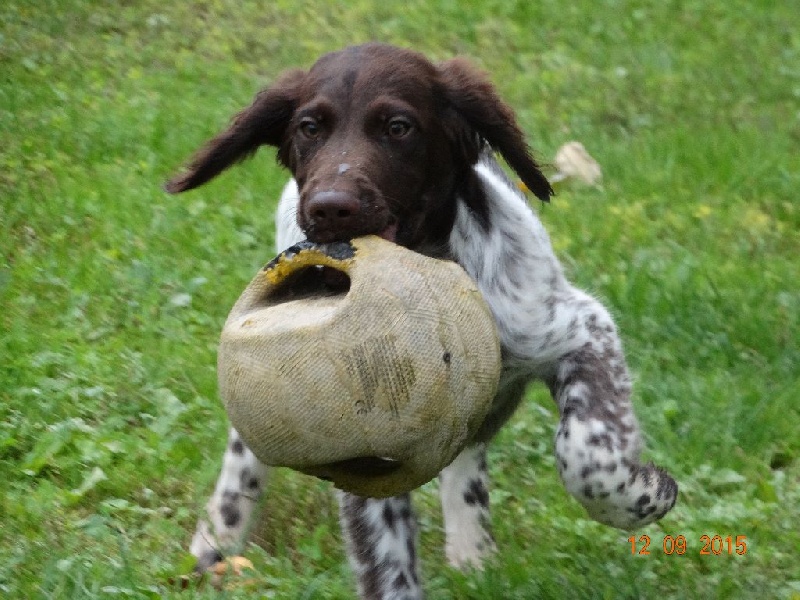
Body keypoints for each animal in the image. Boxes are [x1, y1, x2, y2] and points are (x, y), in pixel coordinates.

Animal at [167, 43, 676, 600]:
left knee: (470, 452)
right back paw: (215, 543)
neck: (432, 257)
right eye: (309, 127)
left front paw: (644, 493)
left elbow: (589, 454)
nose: (328, 209)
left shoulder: (578, 328)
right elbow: (387, 563)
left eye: (398, 127)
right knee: (245, 457)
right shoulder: (362, 448)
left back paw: (473, 551)